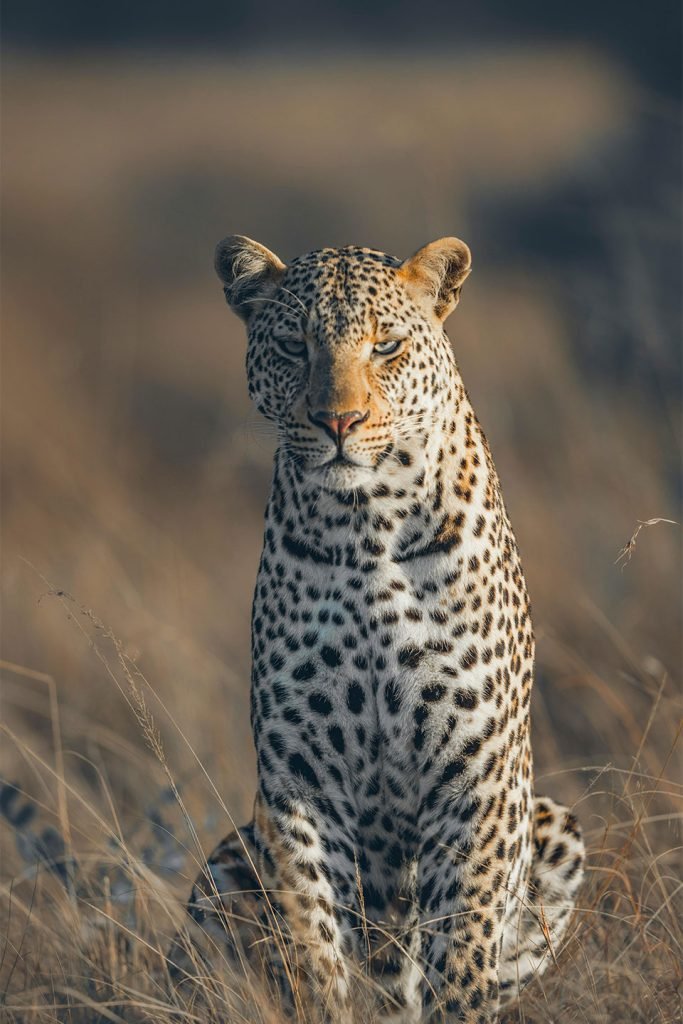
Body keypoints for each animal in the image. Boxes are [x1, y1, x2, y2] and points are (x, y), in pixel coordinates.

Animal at [170, 234, 585, 1023]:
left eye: (385, 346)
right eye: (293, 345)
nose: (339, 423)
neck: (365, 525)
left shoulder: (475, 774)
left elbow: (464, 943)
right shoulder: (299, 778)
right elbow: (311, 938)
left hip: (553, 826)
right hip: (225, 865)